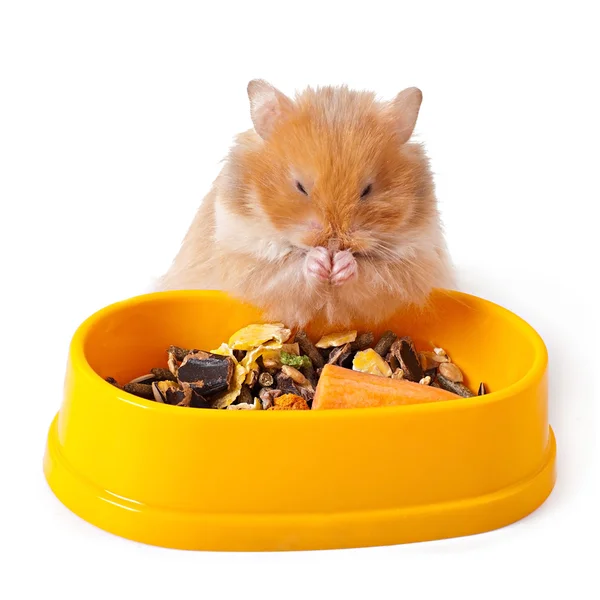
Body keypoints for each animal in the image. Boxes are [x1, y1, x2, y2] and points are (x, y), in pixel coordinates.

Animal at [157, 79, 452, 328]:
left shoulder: (408, 264)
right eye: (300, 187)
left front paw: (342, 264)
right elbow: (293, 268)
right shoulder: (246, 255)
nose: (334, 244)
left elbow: (369, 274)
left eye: (367, 190)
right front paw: (319, 261)